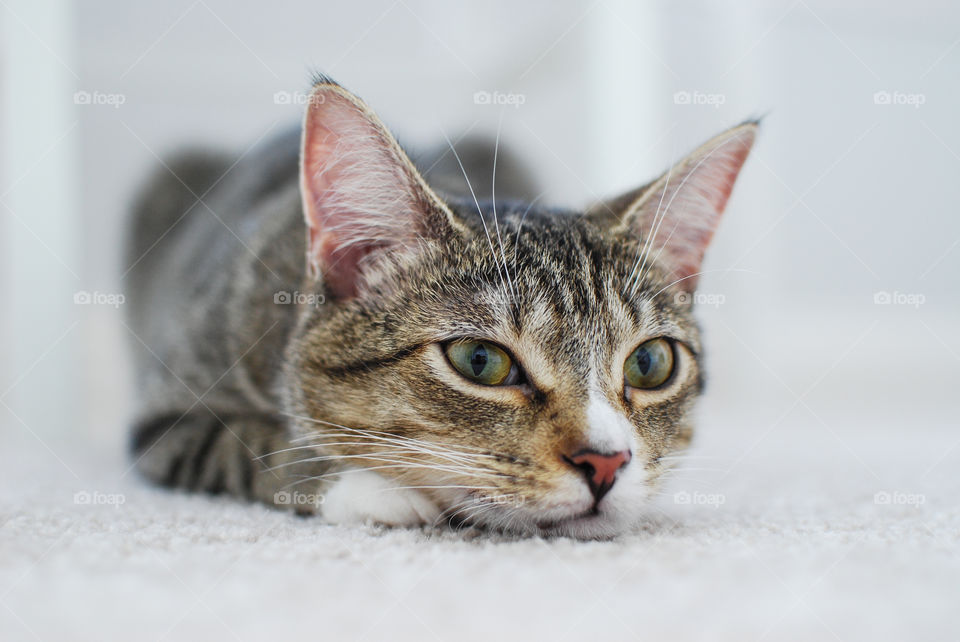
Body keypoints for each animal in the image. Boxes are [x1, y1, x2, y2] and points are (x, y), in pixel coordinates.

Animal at [125, 74, 756, 536]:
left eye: (650, 364)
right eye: (480, 361)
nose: (607, 462)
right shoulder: (165, 419)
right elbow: (248, 445)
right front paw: (376, 488)